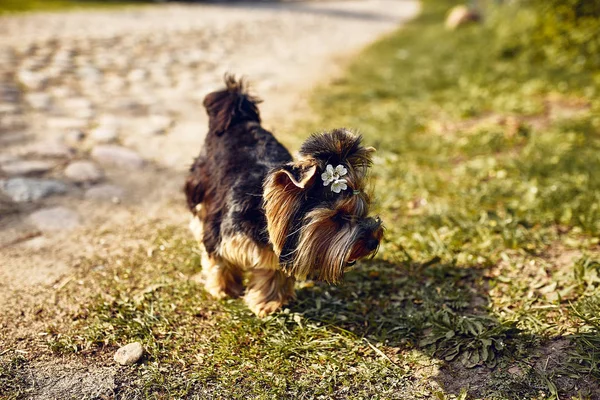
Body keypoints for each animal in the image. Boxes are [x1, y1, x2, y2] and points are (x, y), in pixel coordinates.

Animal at [183, 76, 382, 318]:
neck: (261, 214)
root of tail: (238, 117)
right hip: (200, 181)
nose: (373, 241)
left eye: (363, 208)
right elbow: (219, 260)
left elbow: (272, 273)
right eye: (336, 217)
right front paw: (225, 289)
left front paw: (269, 302)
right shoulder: (220, 231)